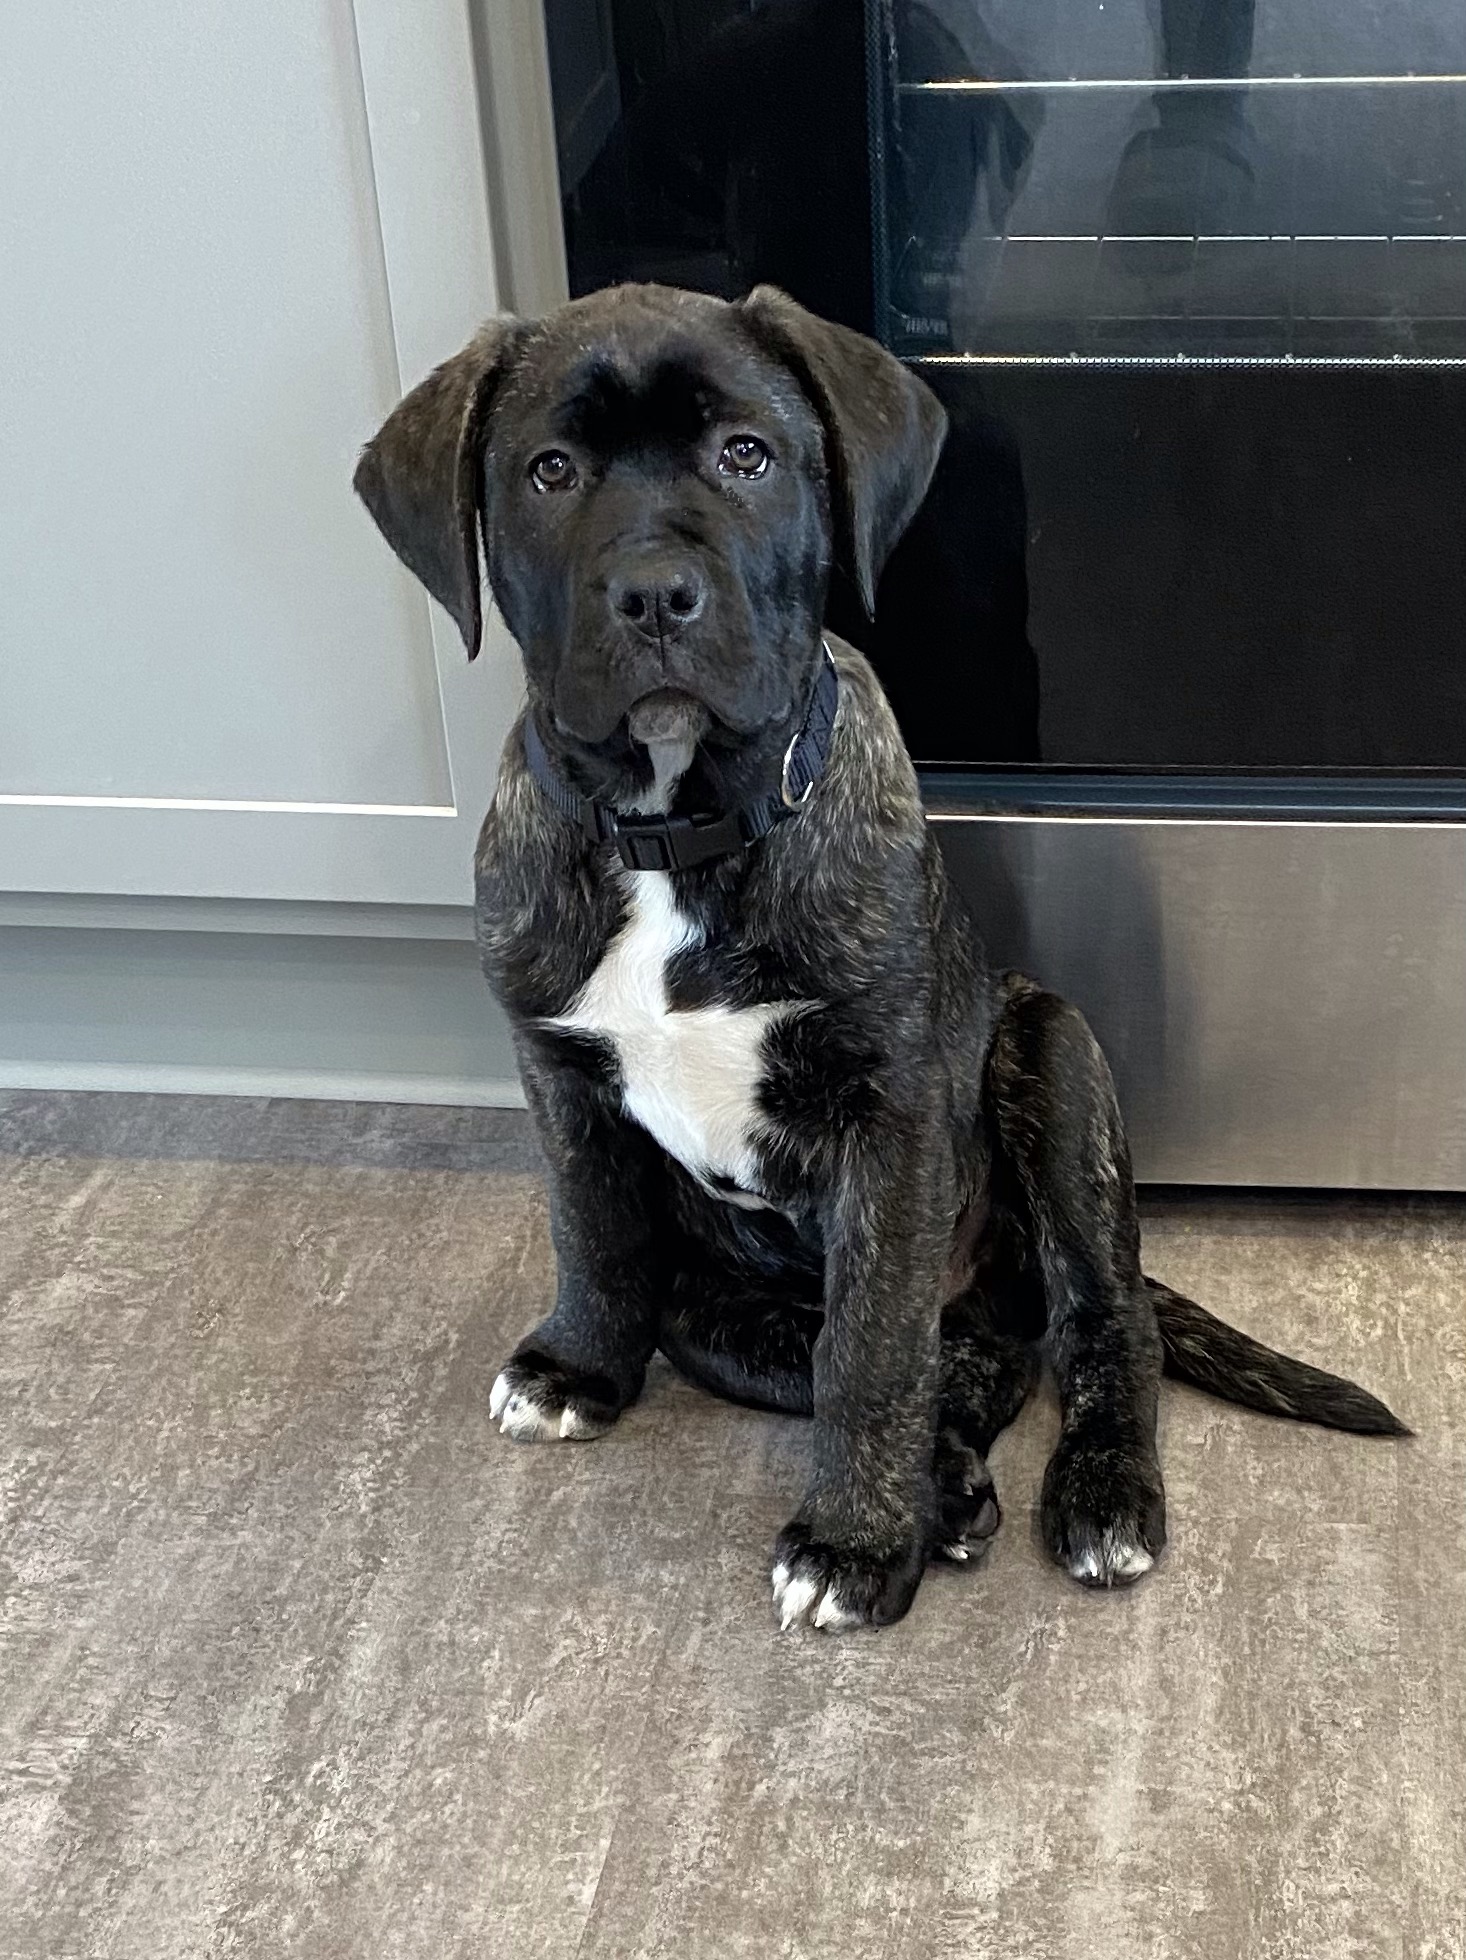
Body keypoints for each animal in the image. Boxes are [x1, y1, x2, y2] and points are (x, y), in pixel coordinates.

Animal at [354, 283, 1406, 1633]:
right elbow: (595, 1228)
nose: (653, 594)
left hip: (1052, 1059)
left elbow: (869, 1344)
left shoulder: (889, 1120)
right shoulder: (558, 1070)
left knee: (1093, 1322)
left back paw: (1097, 1492)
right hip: (718, 1301)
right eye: (549, 473)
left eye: (744, 456)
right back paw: (947, 1487)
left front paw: (852, 1543)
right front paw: (579, 1365)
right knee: (941, 1356)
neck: (680, 830)